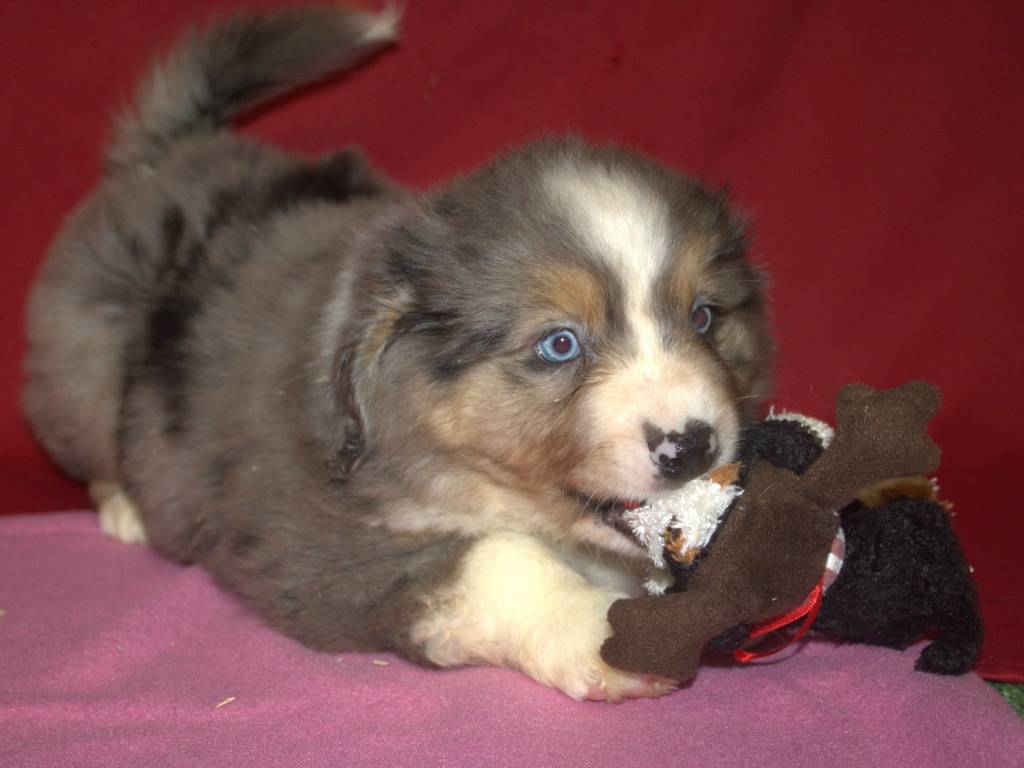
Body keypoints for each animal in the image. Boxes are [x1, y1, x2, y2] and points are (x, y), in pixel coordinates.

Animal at [22, 5, 773, 701]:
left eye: (704, 317)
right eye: (559, 344)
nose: (693, 446)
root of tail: (170, 151)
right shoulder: (311, 543)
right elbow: (498, 561)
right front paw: (608, 633)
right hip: (81, 359)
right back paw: (125, 507)